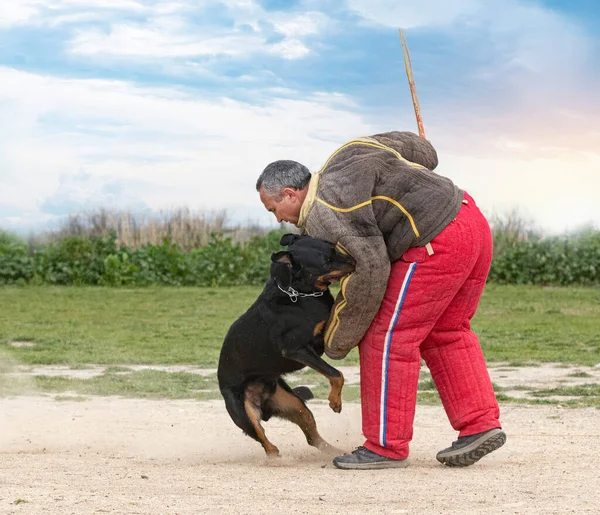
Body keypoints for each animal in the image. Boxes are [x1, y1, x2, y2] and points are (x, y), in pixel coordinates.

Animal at [217, 233, 354, 456]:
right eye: (327, 261)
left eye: (334, 247)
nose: (354, 260)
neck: (297, 293)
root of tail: (263, 404)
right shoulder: (296, 349)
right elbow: (336, 374)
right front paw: (335, 401)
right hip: (243, 412)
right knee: (265, 442)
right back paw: (276, 456)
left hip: (294, 403)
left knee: (313, 438)